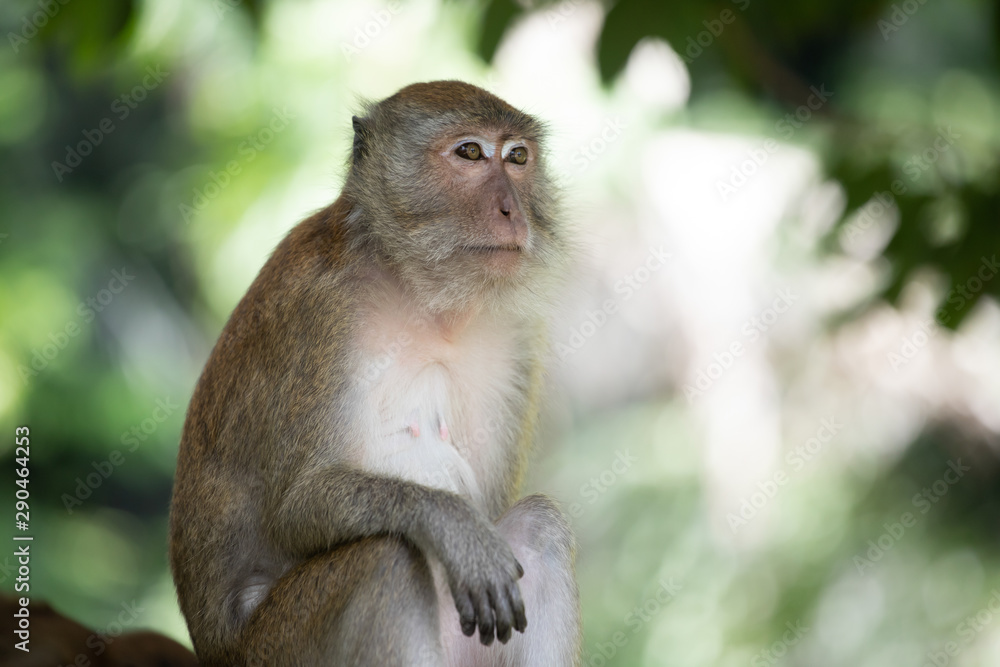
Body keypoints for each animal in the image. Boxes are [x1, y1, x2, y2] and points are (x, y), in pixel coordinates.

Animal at [169, 79, 584, 667]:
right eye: (471, 152)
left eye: (518, 157)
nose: (512, 210)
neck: (422, 296)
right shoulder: (322, 310)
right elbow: (298, 505)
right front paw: (453, 526)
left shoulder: (518, 332)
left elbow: (498, 513)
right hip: (275, 647)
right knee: (384, 557)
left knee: (539, 527)